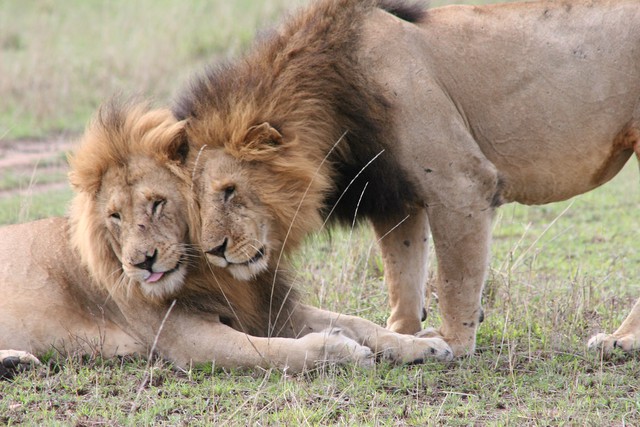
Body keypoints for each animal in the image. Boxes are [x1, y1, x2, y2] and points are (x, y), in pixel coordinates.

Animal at [0, 101, 452, 378]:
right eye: (114, 217)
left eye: (157, 204)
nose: (141, 262)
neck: (206, 269)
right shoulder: (187, 341)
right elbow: (273, 351)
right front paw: (344, 351)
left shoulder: (267, 306)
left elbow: (359, 322)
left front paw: (424, 345)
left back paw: (17, 362)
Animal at [174, 0, 640, 358]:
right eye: (192, 205)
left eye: (229, 191)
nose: (214, 251)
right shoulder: (393, 195)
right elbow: (402, 272)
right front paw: (402, 335)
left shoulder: (460, 183)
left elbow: (454, 278)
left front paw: (453, 342)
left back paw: (620, 341)